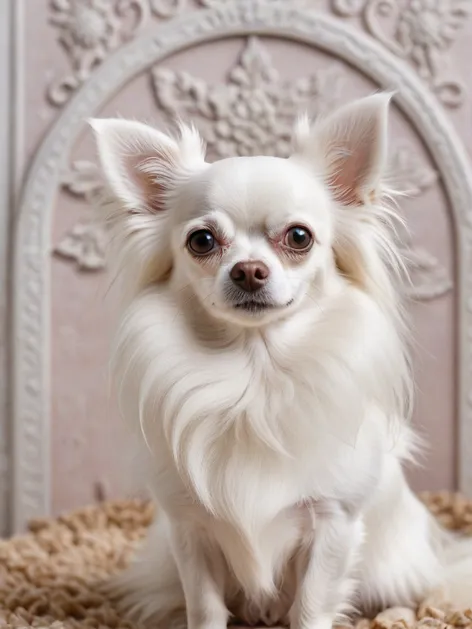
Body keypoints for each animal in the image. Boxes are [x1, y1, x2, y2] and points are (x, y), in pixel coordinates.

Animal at [90, 94, 472, 628]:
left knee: (415, 590)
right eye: (202, 241)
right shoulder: (190, 529)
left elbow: (311, 606)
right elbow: (204, 606)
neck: (254, 369)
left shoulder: (332, 524)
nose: (249, 270)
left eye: (298, 237)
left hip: (394, 566)